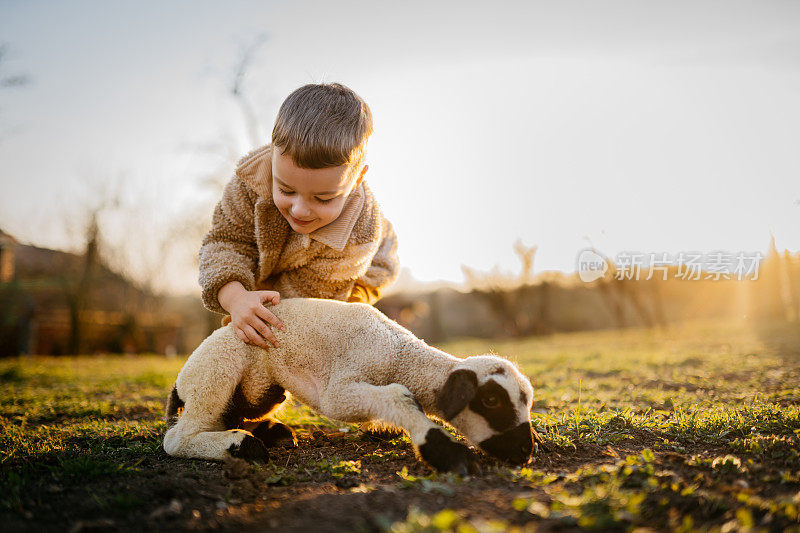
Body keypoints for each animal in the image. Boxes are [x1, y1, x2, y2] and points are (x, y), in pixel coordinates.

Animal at [162, 298, 536, 472]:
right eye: (491, 400)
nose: (525, 452)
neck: (401, 356)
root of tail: (178, 386)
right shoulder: (340, 390)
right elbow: (399, 397)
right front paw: (449, 455)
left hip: (266, 390)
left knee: (237, 412)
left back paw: (272, 433)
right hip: (217, 368)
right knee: (177, 438)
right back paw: (242, 446)